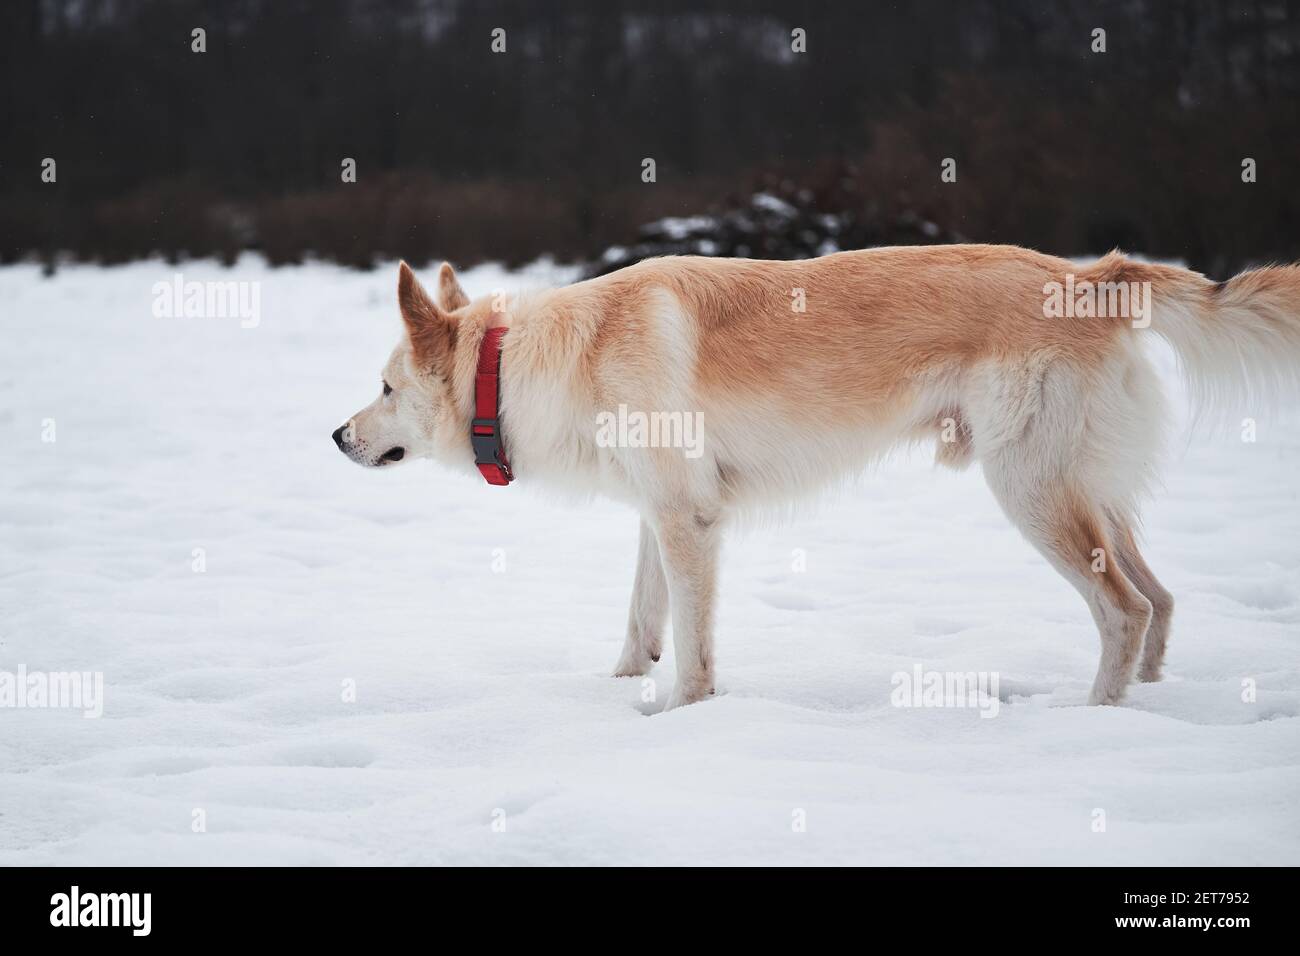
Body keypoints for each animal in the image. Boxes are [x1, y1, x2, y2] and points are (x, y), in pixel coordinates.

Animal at [332, 247, 1300, 712]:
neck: (520, 365)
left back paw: (1094, 716)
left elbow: (694, 653)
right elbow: (641, 621)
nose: (337, 436)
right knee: (1160, 600)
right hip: (1086, 494)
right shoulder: (661, 515)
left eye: (383, 387)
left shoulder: (688, 524)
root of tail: (1092, 275)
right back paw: (1142, 701)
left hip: (1030, 491)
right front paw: (619, 686)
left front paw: (679, 716)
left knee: (1124, 610)